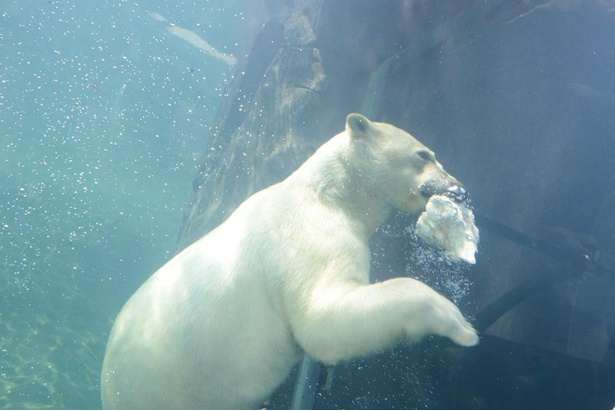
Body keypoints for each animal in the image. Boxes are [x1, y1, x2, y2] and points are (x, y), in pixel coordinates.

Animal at [101, 112, 478, 408]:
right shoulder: (309, 235)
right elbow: (322, 317)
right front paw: (461, 325)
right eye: (423, 154)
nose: (460, 188)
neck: (331, 192)